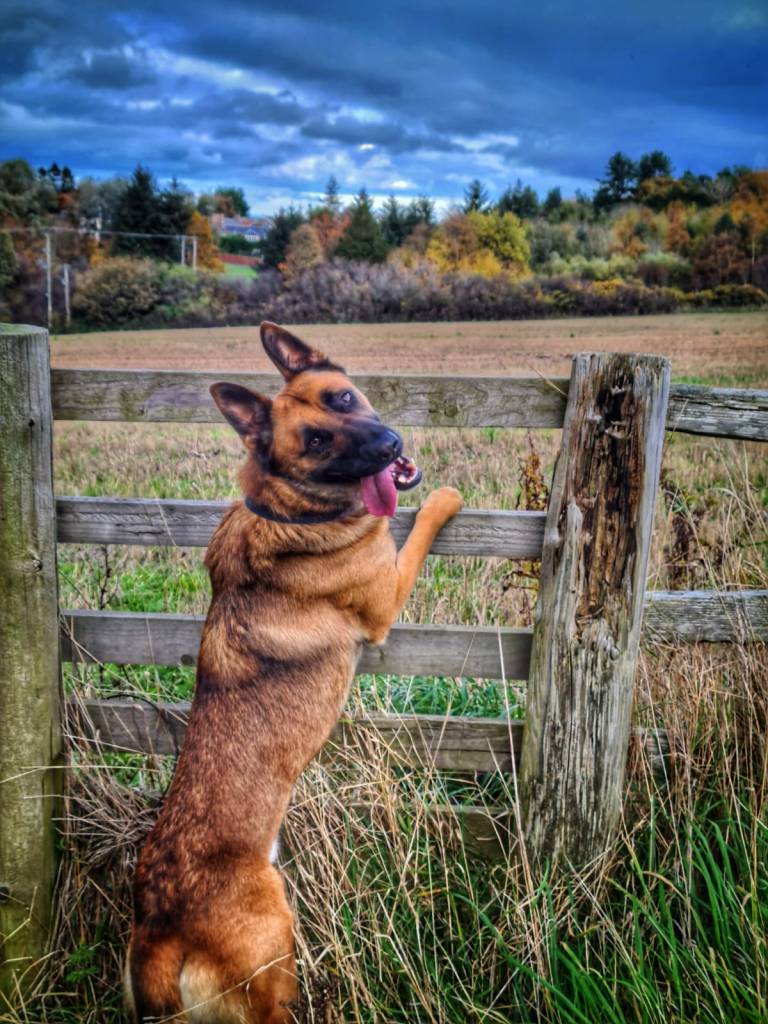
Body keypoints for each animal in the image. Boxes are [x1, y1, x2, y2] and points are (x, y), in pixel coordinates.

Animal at [125, 321, 463, 1022]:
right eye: (314, 440)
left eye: (343, 398)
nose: (390, 446)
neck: (288, 509)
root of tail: (160, 937)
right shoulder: (387, 594)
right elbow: (414, 527)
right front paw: (443, 498)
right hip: (276, 955)